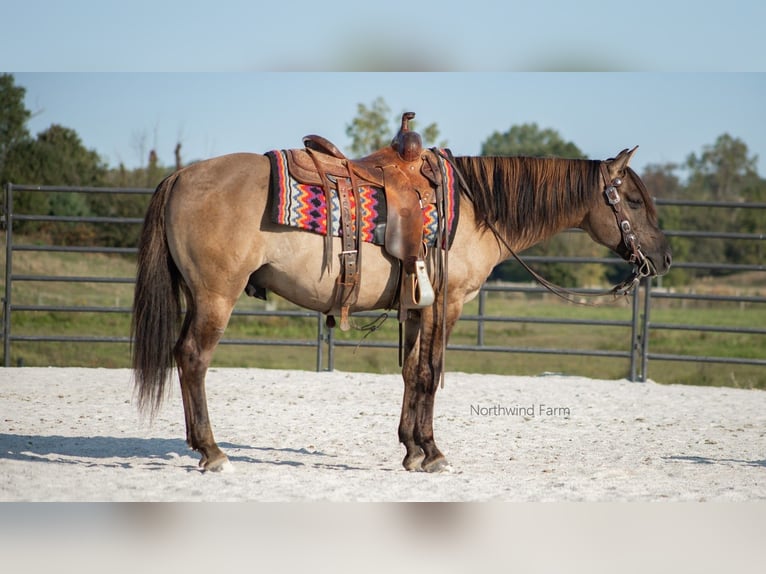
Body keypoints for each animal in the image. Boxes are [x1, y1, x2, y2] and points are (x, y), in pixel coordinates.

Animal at [132, 127, 672, 476]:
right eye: (634, 200)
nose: (664, 257)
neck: (476, 208)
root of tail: (180, 177)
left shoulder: (417, 306)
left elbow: (412, 372)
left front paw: (412, 449)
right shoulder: (445, 305)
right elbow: (431, 373)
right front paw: (433, 453)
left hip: (199, 295)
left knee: (184, 357)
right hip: (215, 296)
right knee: (193, 359)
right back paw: (212, 452)